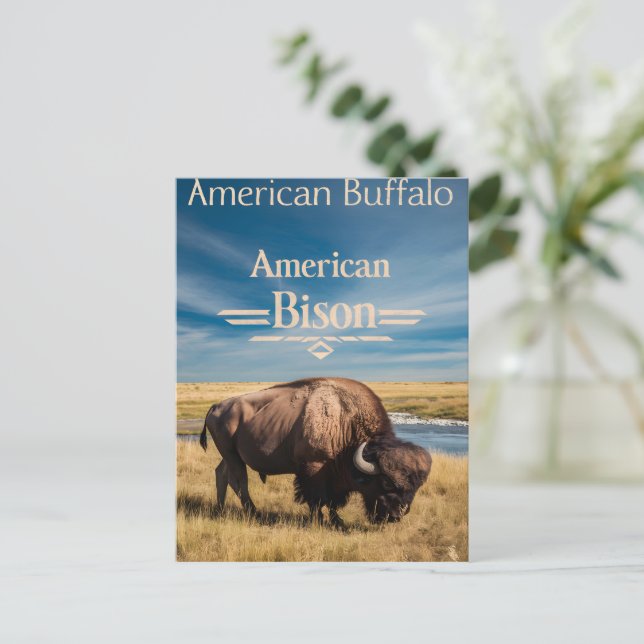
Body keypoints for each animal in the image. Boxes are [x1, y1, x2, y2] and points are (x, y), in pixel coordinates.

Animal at [200, 377, 431, 528]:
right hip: (232, 455)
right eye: (385, 483)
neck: (345, 422)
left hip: (229, 456)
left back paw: (220, 509)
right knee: (240, 481)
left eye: (416, 487)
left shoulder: (334, 479)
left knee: (222, 474)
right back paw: (253, 513)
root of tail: (216, 406)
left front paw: (338, 521)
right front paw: (318, 521)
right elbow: (317, 499)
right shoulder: (313, 468)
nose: (396, 516)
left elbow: (333, 502)